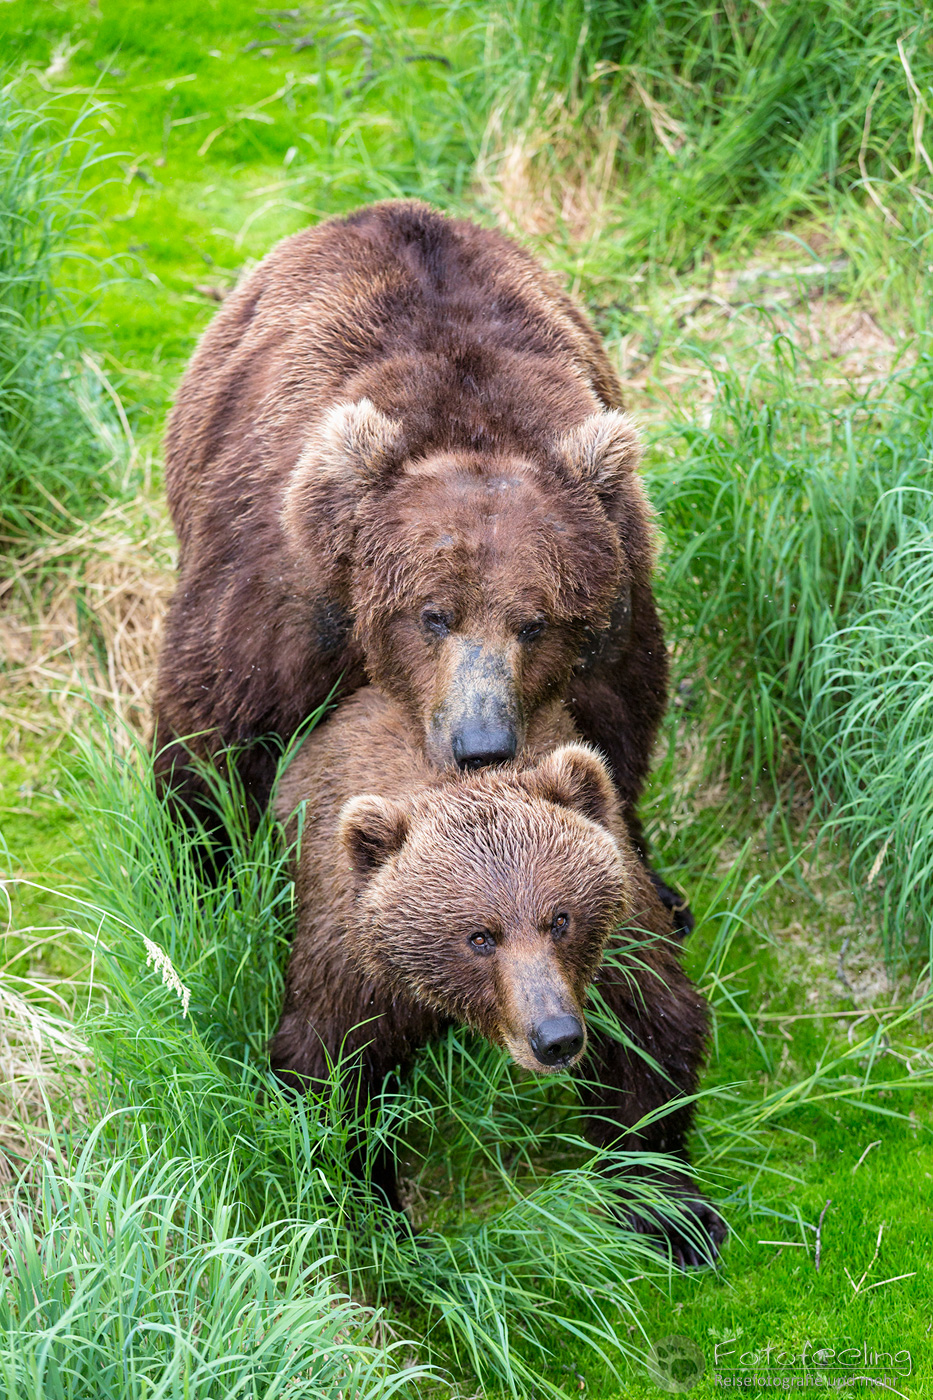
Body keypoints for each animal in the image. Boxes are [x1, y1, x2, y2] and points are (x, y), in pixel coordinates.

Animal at [153, 199, 691, 931]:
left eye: (535, 624)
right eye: (433, 616)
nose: (481, 744)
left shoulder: (614, 612)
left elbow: (615, 731)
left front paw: (656, 885)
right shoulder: (287, 595)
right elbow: (214, 730)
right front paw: (204, 883)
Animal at [270, 686, 724, 1268]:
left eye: (560, 918)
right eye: (480, 936)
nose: (555, 1037)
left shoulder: (617, 947)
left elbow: (648, 1041)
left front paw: (676, 1216)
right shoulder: (357, 974)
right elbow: (331, 1073)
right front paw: (385, 1223)